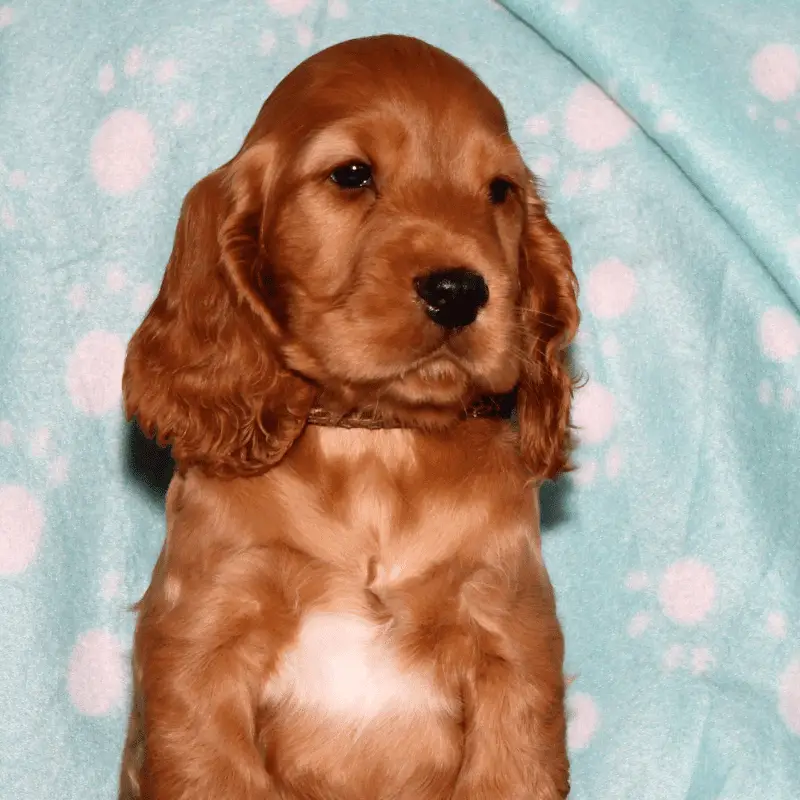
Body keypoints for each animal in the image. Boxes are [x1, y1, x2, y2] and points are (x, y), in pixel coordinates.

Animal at [119, 32, 580, 800]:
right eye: (353, 174)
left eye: (500, 190)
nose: (459, 290)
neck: (375, 445)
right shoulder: (201, 640)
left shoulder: (511, 640)